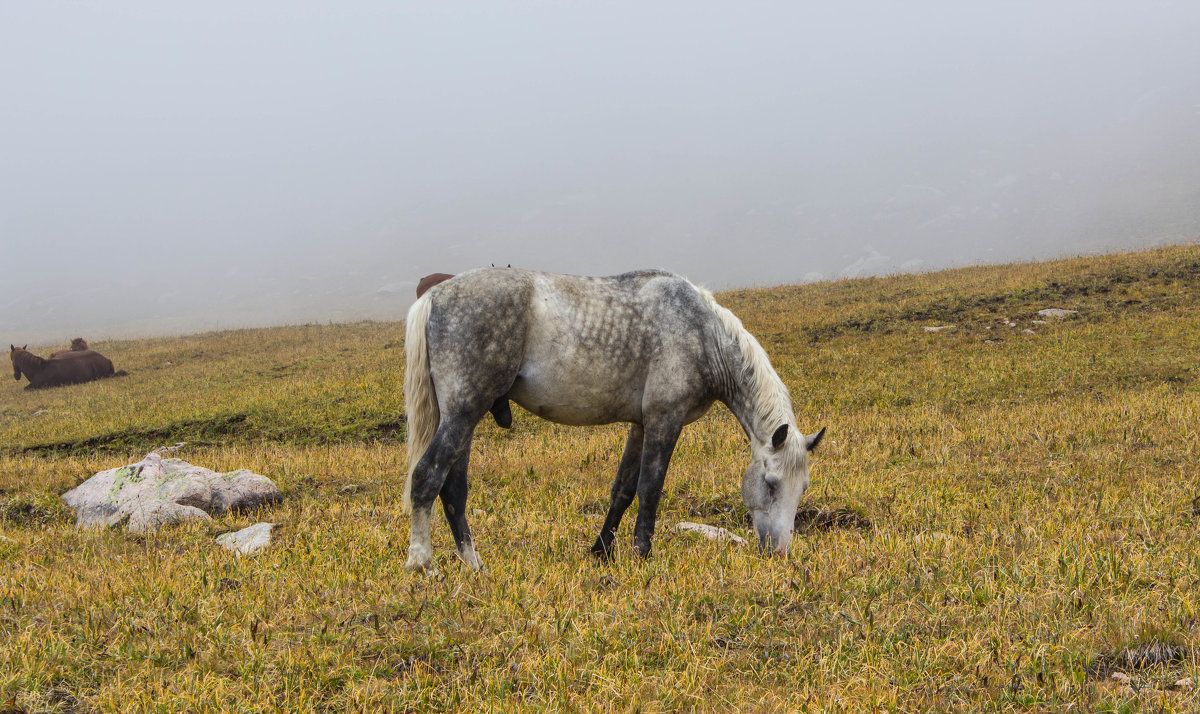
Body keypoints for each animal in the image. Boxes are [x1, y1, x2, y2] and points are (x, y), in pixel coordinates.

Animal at [403, 265, 825, 573]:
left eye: (802, 488)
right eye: (770, 483)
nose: (779, 552)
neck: (703, 334)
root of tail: (435, 295)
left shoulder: (641, 425)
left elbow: (623, 489)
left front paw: (602, 551)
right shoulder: (664, 421)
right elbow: (650, 489)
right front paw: (643, 555)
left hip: (463, 419)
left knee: (453, 489)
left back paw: (472, 563)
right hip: (463, 414)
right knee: (427, 477)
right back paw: (422, 563)